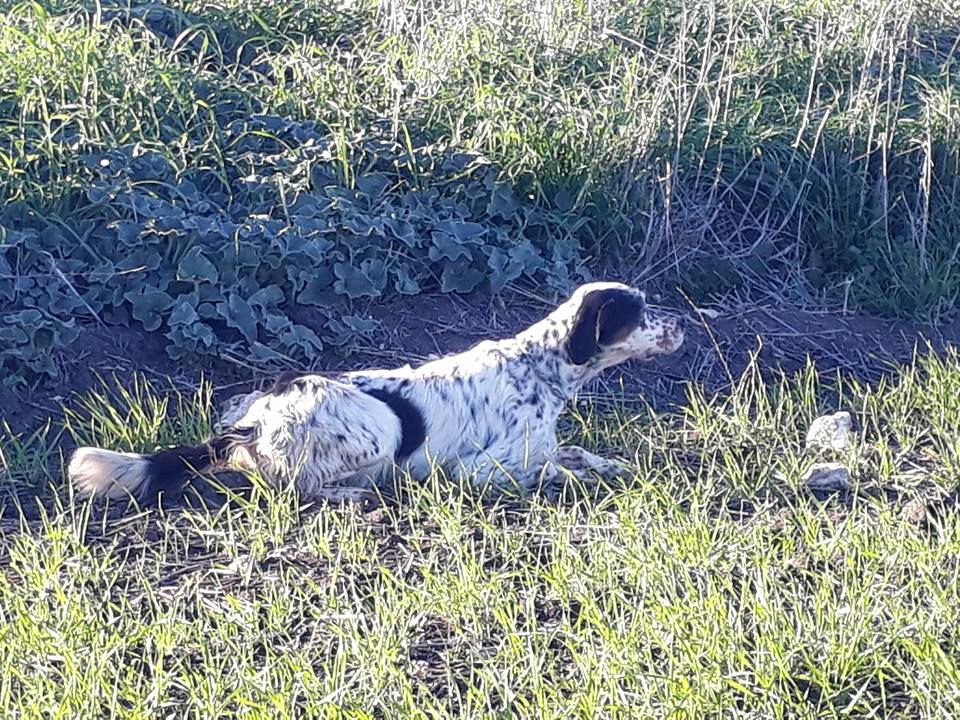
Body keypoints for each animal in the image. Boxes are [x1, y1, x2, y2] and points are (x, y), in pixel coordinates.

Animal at [69, 280, 684, 500]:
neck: (539, 366)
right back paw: (353, 496)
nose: (683, 323)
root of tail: (253, 424)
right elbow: (556, 469)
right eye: (640, 310)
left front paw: (612, 464)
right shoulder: (480, 471)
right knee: (300, 489)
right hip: (381, 432)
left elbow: (578, 453)